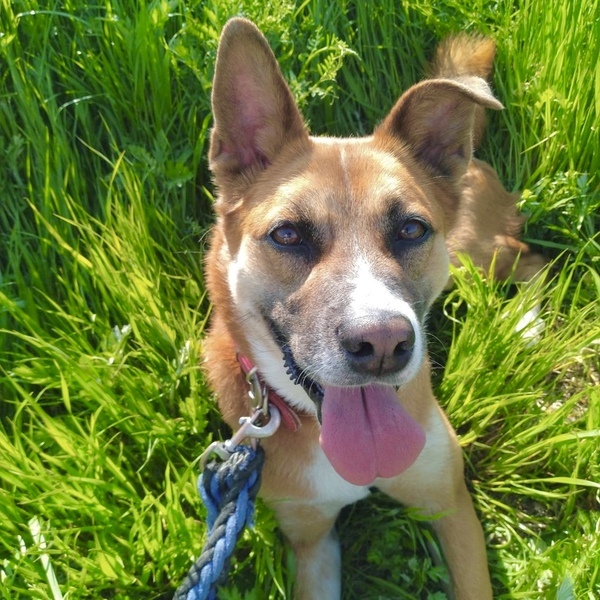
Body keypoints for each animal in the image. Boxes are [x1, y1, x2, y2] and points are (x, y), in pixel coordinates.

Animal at [202, 18, 545, 599]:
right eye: (288, 234)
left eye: (410, 228)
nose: (383, 344)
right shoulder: (311, 542)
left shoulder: (451, 506)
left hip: (476, 255)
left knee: (532, 258)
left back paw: (527, 323)